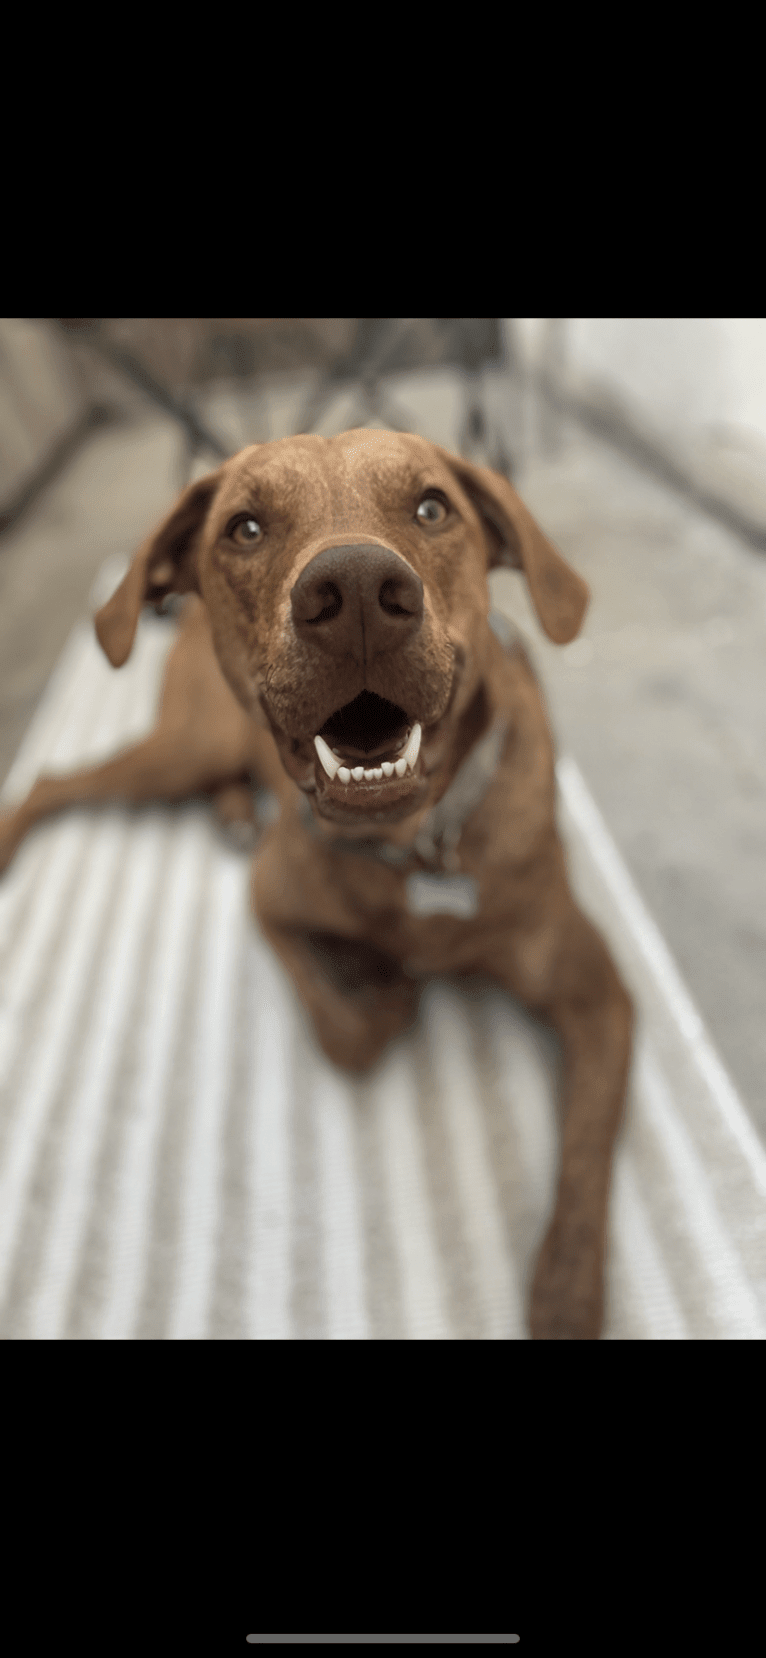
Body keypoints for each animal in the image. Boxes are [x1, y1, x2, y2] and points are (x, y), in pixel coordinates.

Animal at [0, 427, 633, 1333]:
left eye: (433, 507)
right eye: (245, 528)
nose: (360, 590)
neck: (408, 848)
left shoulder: (598, 991)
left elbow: (587, 1150)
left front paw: (567, 1292)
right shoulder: (269, 899)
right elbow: (346, 1032)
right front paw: (379, 983)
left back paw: (234, 813)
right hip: (189, 744)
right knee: (52, 781)